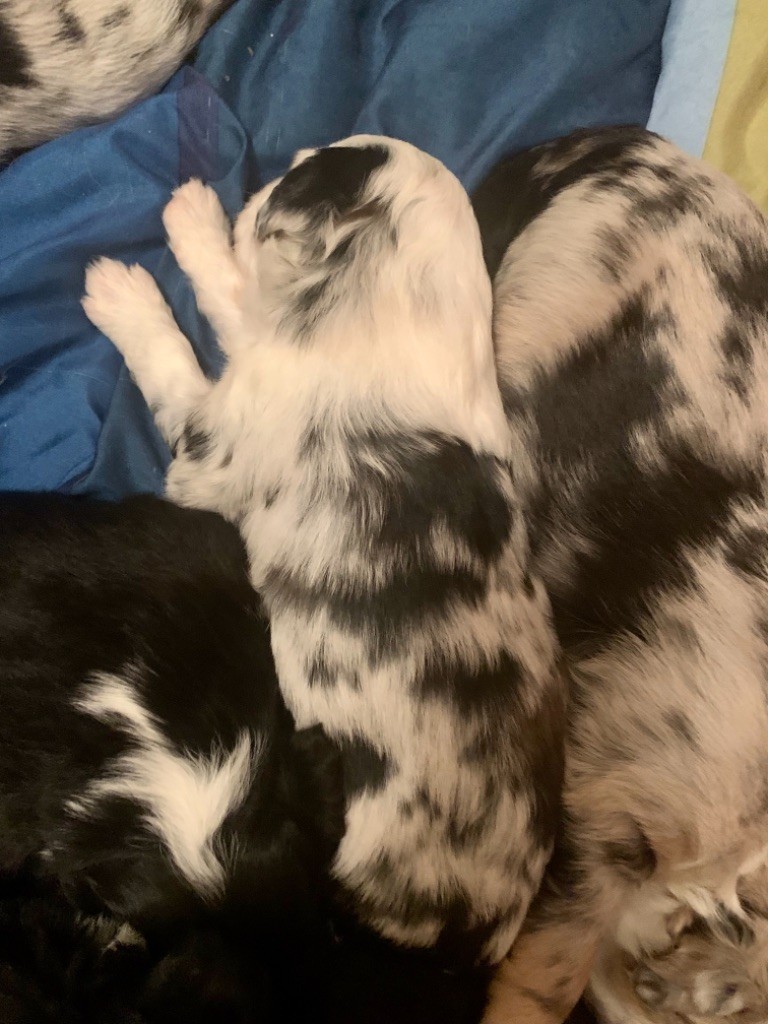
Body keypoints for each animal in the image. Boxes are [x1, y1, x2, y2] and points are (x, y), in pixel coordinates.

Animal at [82, 135, 568, 1022]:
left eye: (293, 178)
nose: (259, 183)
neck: (396, 311)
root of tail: (466, 951)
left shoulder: (210, 444)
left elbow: (187, 350)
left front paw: (126, 290)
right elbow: (236, 304)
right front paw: (196, 216)